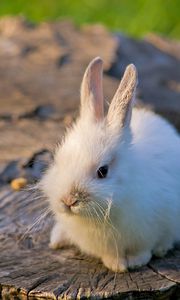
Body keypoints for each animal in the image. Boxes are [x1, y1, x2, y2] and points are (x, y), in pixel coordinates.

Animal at [40, 56, 180, 272]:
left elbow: (143, 250)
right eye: (58, 160)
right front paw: (116, 264)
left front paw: (134, 262)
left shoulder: (149, 232)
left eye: (103, 171)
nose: (68, 200)